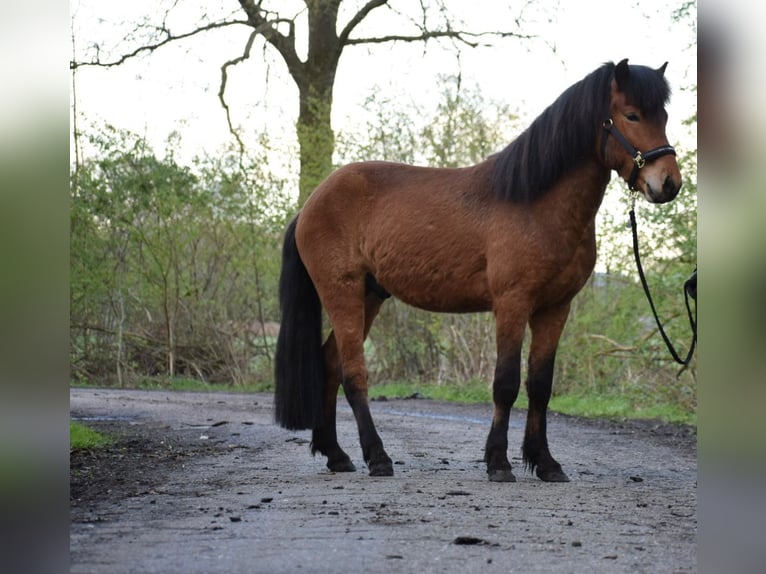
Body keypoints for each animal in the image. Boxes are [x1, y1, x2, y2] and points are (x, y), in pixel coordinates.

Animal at [272, 59, 680, 482]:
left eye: (664, 116)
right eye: (631, 115)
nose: (668, 183)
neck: (535, 202)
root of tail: (311, 204)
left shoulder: (555, 308)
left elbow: (540, 385)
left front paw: (545, 462)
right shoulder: (512, 303)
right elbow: (505, 383)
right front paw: (498, 462)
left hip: (370, 295)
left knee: (329, 365)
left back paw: (336, 455)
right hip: (343, 292)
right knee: (353, 374)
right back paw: (378, 457)